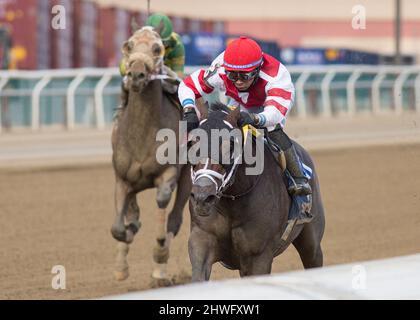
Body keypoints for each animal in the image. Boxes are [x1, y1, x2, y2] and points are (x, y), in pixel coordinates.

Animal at [111, 26, 190, 284]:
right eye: (128, 45)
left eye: (157, 49)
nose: (136, 75)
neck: (141, 134)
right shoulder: (122, 179)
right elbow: (118, 228)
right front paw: (121, 265)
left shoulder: (169, 173)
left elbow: (162, 203)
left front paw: (160, 253)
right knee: (133, 210)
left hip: (187, 177)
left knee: (175, 219)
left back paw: (160, 271)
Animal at [189, 104, 324, 282]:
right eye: (192, 142)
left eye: (230, 145)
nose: (203, 197)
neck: (232, 203)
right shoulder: (202, 241)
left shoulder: (259, 256)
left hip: (312, 244)